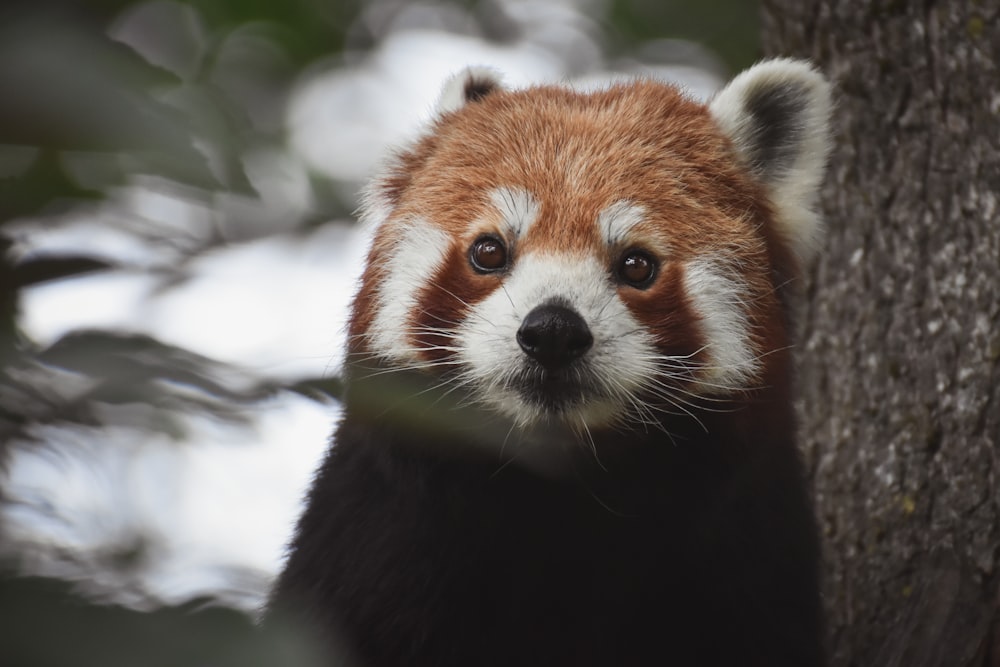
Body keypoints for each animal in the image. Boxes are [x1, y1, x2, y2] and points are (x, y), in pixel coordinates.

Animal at [270, 58, 832, 667]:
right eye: (489, 251)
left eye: (637, 265)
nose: (553, 332)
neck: (556, 502)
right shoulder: (372, 541)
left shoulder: (747, 560)